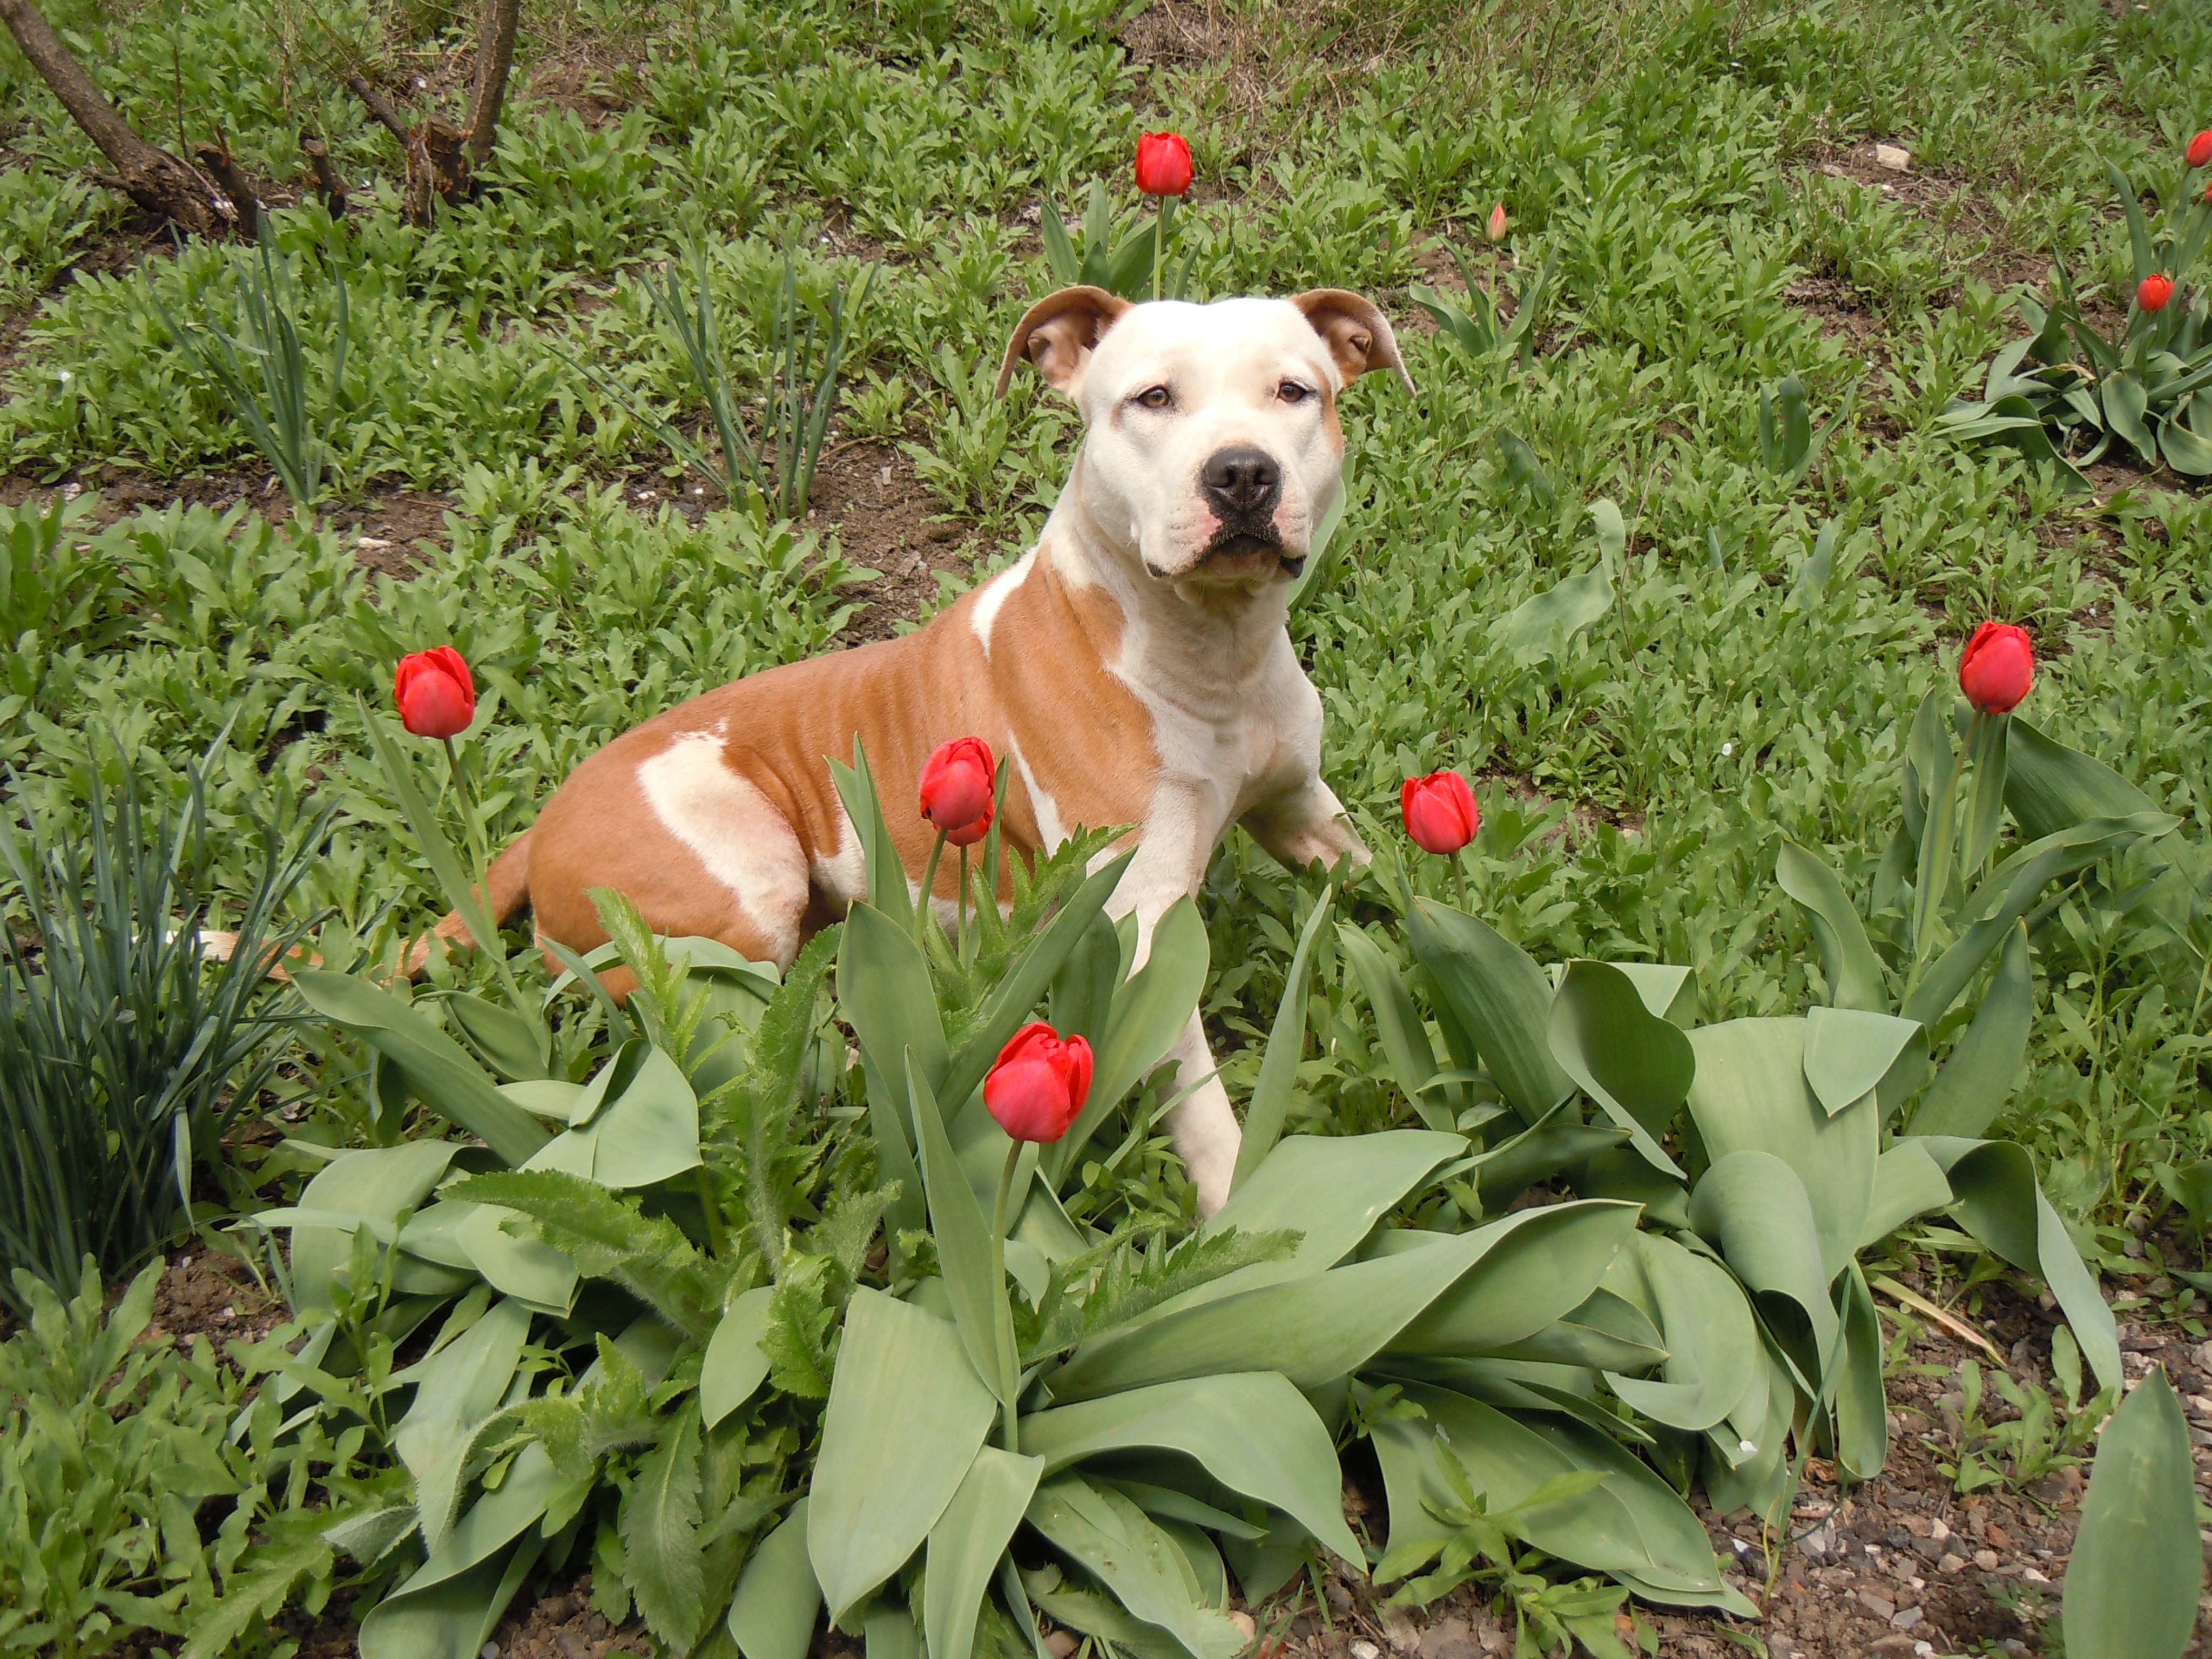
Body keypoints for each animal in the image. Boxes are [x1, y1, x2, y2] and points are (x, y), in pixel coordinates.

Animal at [430, 285, 1409, 1213]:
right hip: (742, 880)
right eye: (1153, 398)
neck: (1213, 656)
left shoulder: (1305, 809)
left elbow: (1395, 884)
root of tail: (541, 825)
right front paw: (1236, 1203)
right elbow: (1197, 1094)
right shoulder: (1144, 918)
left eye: (1294, 392)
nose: (1242, 471)